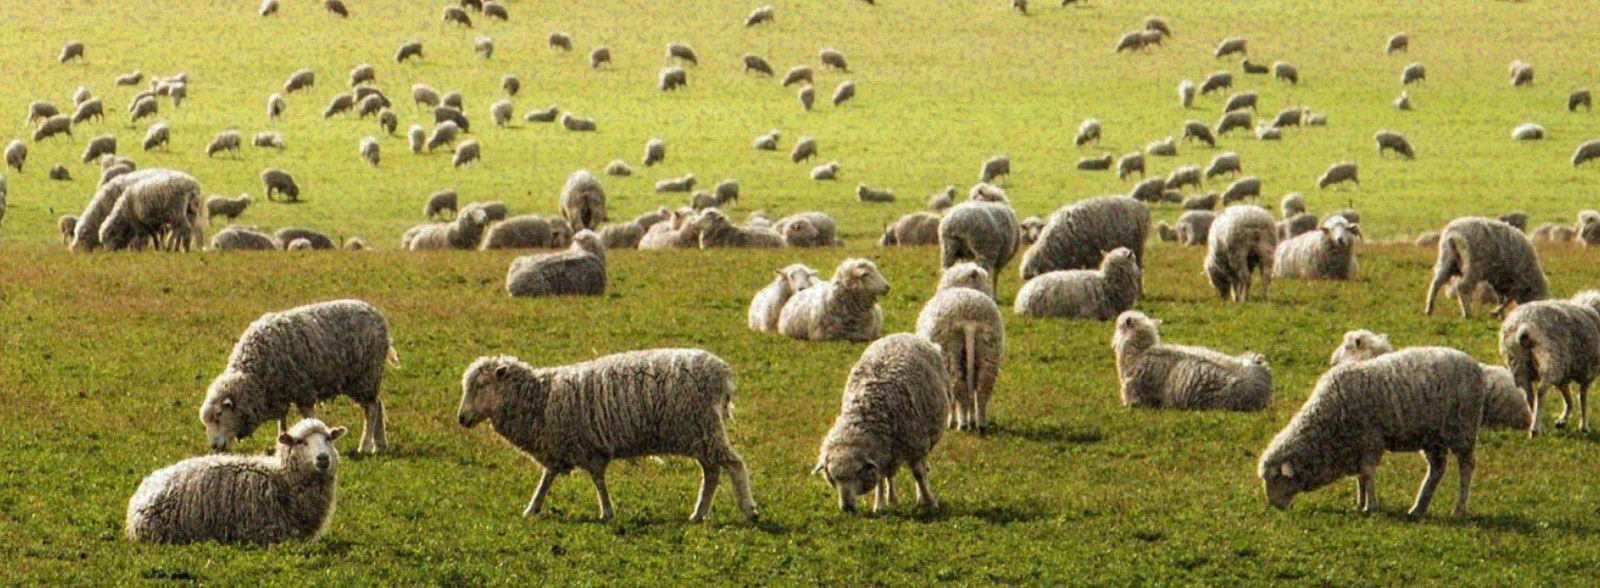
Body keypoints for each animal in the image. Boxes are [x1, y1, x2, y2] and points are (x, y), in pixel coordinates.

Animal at [200, 300, 393, 456]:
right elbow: (282, 421)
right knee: (378, 404)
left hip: (365, 375)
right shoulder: (279, 393)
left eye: (218, 414)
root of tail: (377, 314)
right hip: (367, 378)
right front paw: (282, 442)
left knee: (371, 408)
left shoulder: (303, 390)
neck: (254, 373)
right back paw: (380, 444)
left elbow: (307, 417)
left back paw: (365, 446)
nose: (214, 447)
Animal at [457, 350, 758, 522]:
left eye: (480, 385)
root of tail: (722, 372)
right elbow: (547, 478)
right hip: (699, 433)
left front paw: (607, 512)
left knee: (733, 464)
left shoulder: (587, 447)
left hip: (703, 426)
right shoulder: (559, 446)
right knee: (712, 472)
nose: (461, 418)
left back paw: (749, 510)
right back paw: (698, 514)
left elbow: (597, 480)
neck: (540, 398)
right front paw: (532, 508)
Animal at [813, 333, 949, 513]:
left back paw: (920, 495)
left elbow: (919, 474)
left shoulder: (915, 444)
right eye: (832, 477)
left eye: (857, 473)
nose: (847, 508)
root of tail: (901, 334)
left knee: (921, 469)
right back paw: (891, 499)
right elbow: (879, 477)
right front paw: (880, 504)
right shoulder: (881, 453)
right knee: (889, 475)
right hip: (891, 450)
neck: (867, 409)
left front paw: (929, 501)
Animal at [917, 264, 1004, 431]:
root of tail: (968, 315)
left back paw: (961, 423)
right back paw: (980, 423)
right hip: (989, 351)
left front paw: (952, 421)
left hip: (948, 353)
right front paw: (971, 419)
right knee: (982, 390)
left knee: (959, 389)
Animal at [1258, 346, 1486, 518]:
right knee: (1437, 469)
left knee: (1467, 467)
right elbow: (1361, 476)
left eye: (1276, 478)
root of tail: (1475, 366)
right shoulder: (1357, 445)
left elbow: (1368, 473)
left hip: (1462, 430)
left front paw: (1371, 506)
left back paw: (1459, 510)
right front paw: (1360, 503)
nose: (1273, 506)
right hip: (1433, 437)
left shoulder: (1371, 440)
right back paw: (1418, 509)